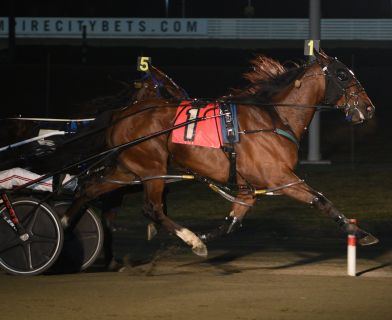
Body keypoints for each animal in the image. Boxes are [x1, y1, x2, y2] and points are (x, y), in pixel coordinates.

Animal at [63, 50, 376, 258]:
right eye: (342, 74)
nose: (369, 107)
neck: (274, 118)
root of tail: (121, 114)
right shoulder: (280, 178)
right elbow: (320, 200)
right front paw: (360, 233)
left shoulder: (248, 189)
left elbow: (231, 224)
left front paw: (203, 237)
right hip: (152, 168)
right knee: (151, 208)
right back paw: (190, 239)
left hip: (127, 170)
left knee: (89, 189)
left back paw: (65, 226)